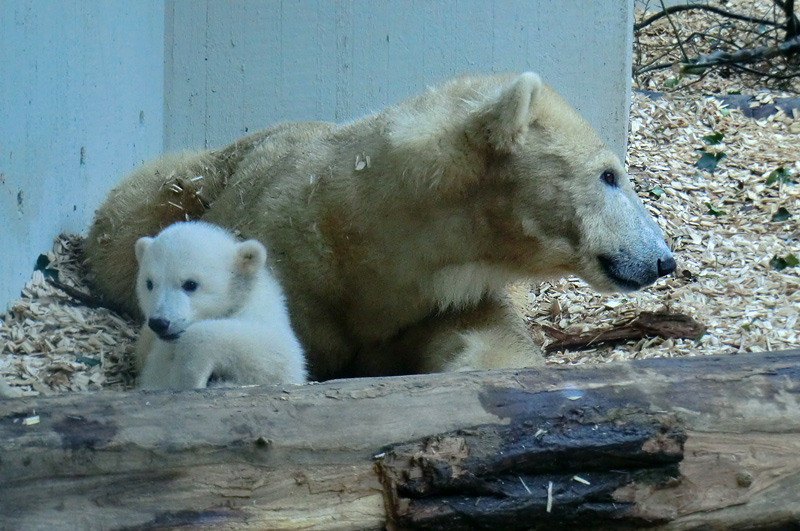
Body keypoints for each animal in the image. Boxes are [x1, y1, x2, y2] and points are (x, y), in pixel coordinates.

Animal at [86, 74, 676, 382]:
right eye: (608, 174)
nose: (662, 259)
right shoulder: (289, 268)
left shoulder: (437, 299)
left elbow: (492, 342)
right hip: (183, 183)